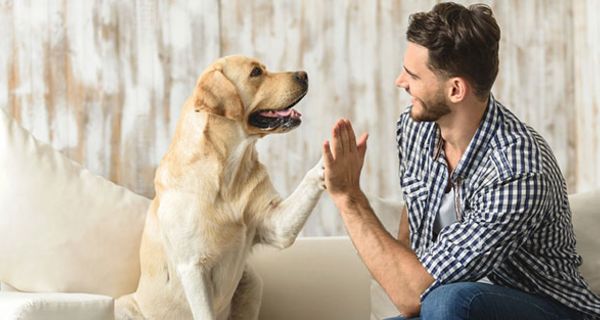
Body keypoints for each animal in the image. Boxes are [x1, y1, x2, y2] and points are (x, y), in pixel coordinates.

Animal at [115, 56, 326, 318]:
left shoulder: (276, 225)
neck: (227, 172)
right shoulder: (193, 266)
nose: (304, 74)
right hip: (124, 304)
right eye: (256, 72)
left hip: (252, 281)